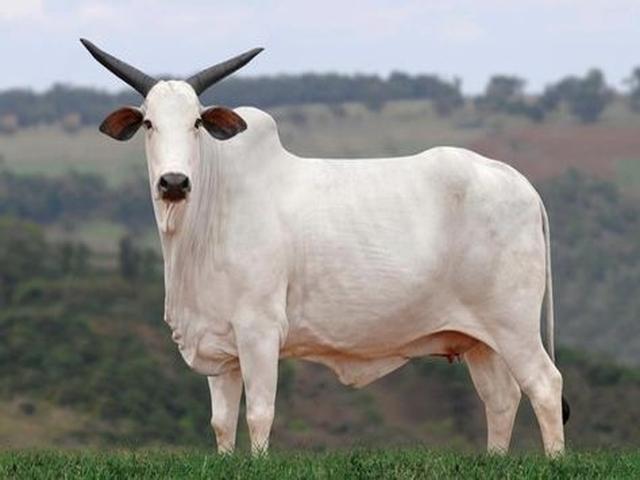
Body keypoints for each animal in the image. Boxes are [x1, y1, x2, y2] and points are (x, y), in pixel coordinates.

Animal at [81, 39, 569, 456]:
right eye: (148, 122)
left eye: (197, 122)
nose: (174, 182)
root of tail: (517, 180)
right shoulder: (221, 349)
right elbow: (222, 424)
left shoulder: (259, 330)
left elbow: (259, 415)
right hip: (480, 340)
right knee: (501, 399)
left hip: (514, 325)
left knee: (545, 386)